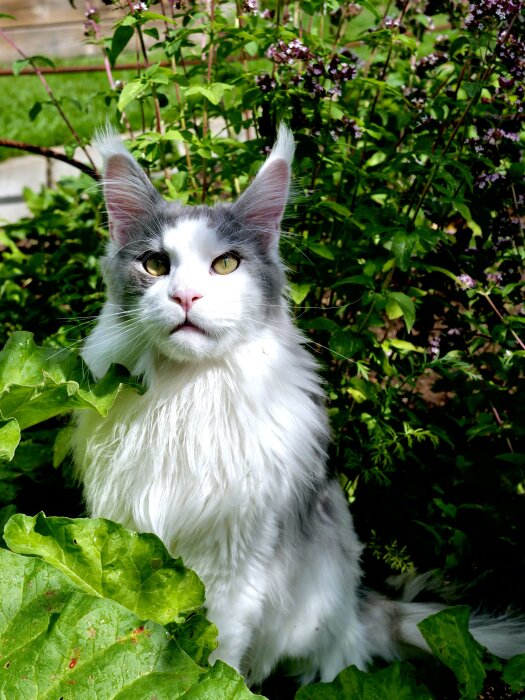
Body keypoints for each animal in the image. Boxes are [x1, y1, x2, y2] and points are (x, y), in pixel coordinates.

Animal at [72, 126, 524, 684]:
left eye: (226, 264)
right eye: (155, 265)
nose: (186, 297)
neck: (186, 395)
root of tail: (359, 605)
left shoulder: (234, 569)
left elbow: (218, 661)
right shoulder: (129, 541)